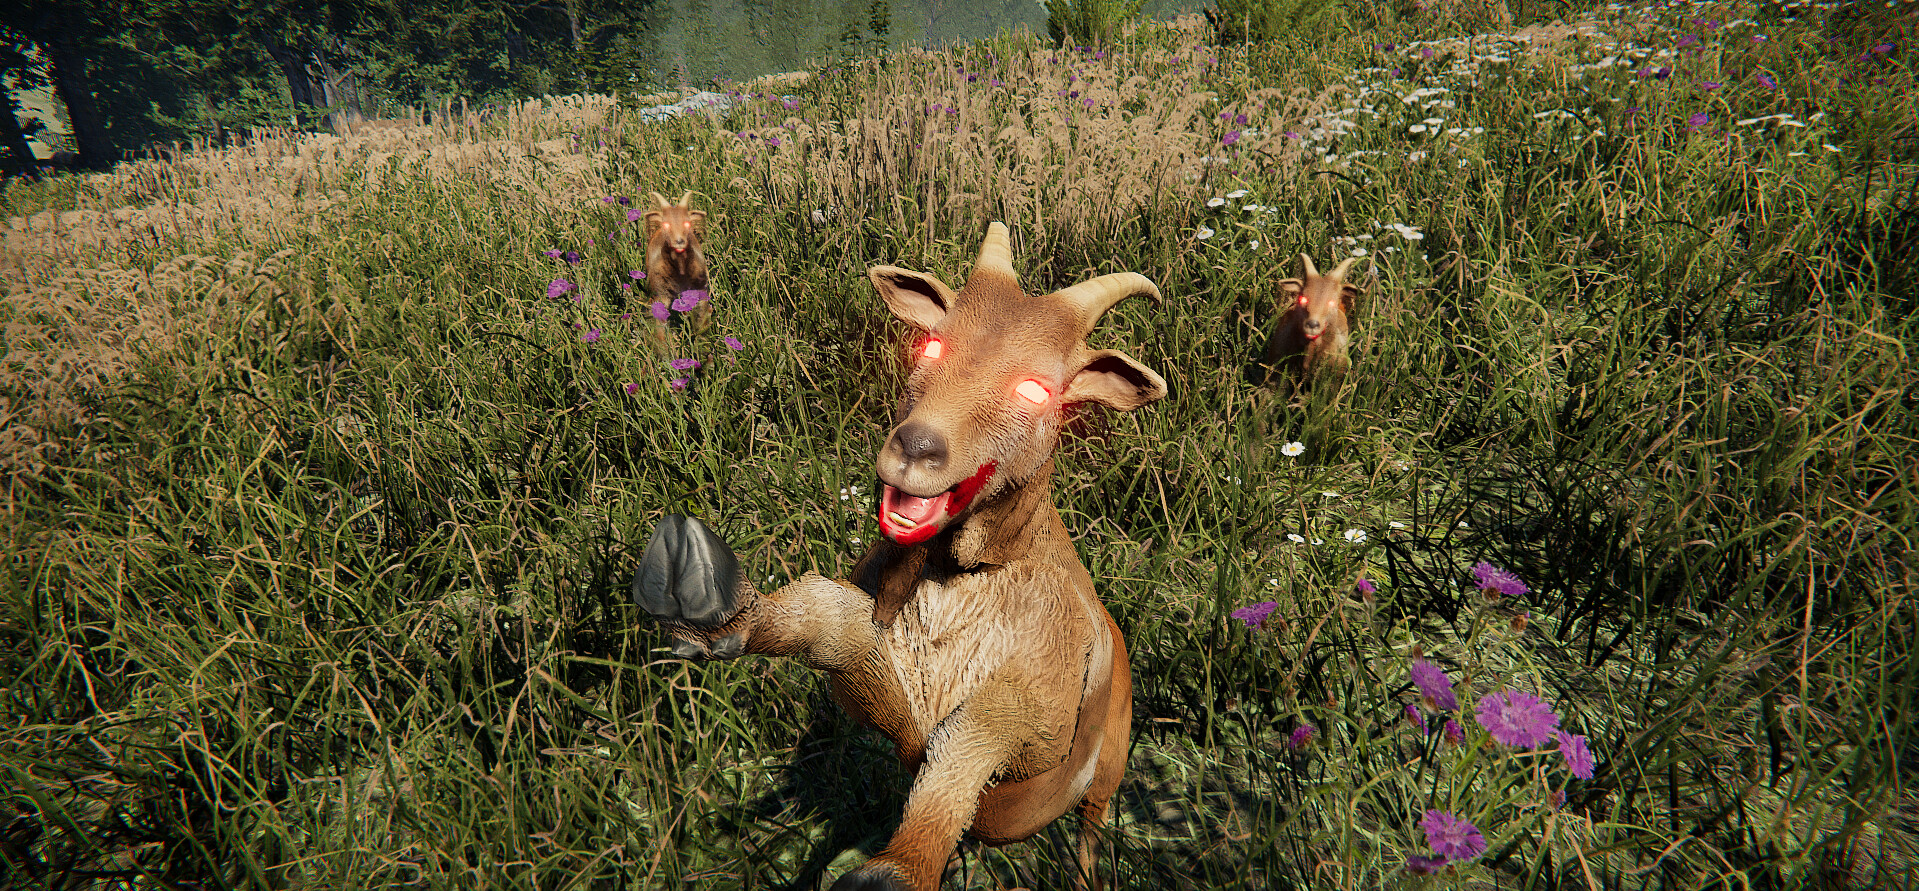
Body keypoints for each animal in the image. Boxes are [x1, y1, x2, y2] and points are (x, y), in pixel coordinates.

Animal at [633, 222, 1166, 891]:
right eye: (931, 346)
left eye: (1037, 390)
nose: (917, 447)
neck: (957, 580)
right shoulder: (896, 708)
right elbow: (833, 625)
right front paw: (717, 612)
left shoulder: (1040, 712)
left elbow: (972, 738)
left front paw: (897, 869)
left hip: (1110, 762)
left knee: (1093, 825)